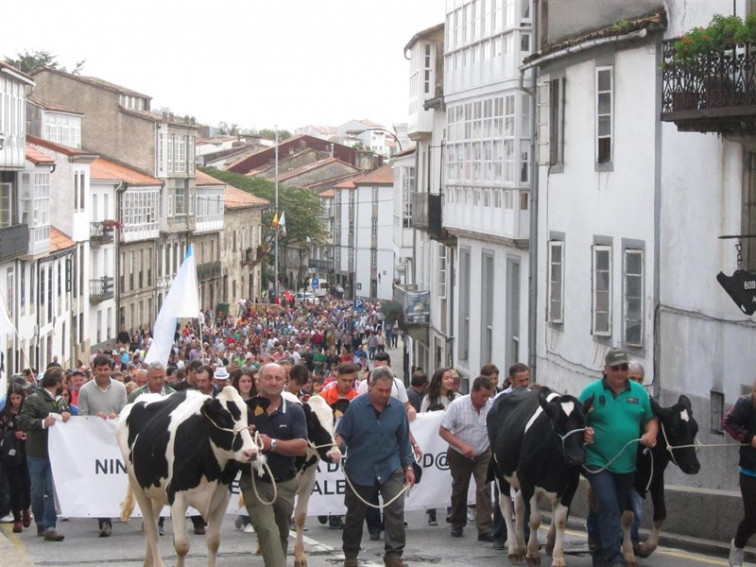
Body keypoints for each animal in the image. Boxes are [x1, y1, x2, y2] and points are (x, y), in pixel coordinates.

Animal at [116, 386, 260, 567]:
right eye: (223, 418)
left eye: (249, 416)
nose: (251, 452)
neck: (211, 469)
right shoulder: (176, 495)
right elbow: (181, 545)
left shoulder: (222, 496)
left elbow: (214, 541)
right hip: (137, 484)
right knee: (151, 529)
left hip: (156, 487)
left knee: (153, 523)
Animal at [488, 388, 592, 564]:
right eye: (558, 423)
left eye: (583, 423)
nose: (576, 458)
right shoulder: (528, 481)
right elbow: (534, 520)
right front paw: (533, 554)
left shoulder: (570, 484)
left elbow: (560, 520)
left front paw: (558, 558)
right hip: (499, 471)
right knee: (506, 506)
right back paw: (514, 549)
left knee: (519, 504)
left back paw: (522, 545)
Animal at [620, 398, 704, 564]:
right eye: (674, 430)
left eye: (695, 429)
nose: (694, 466)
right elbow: (627, 516)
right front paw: (628, 553)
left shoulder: (657, 476)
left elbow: (660, 513)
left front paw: (646, 548)